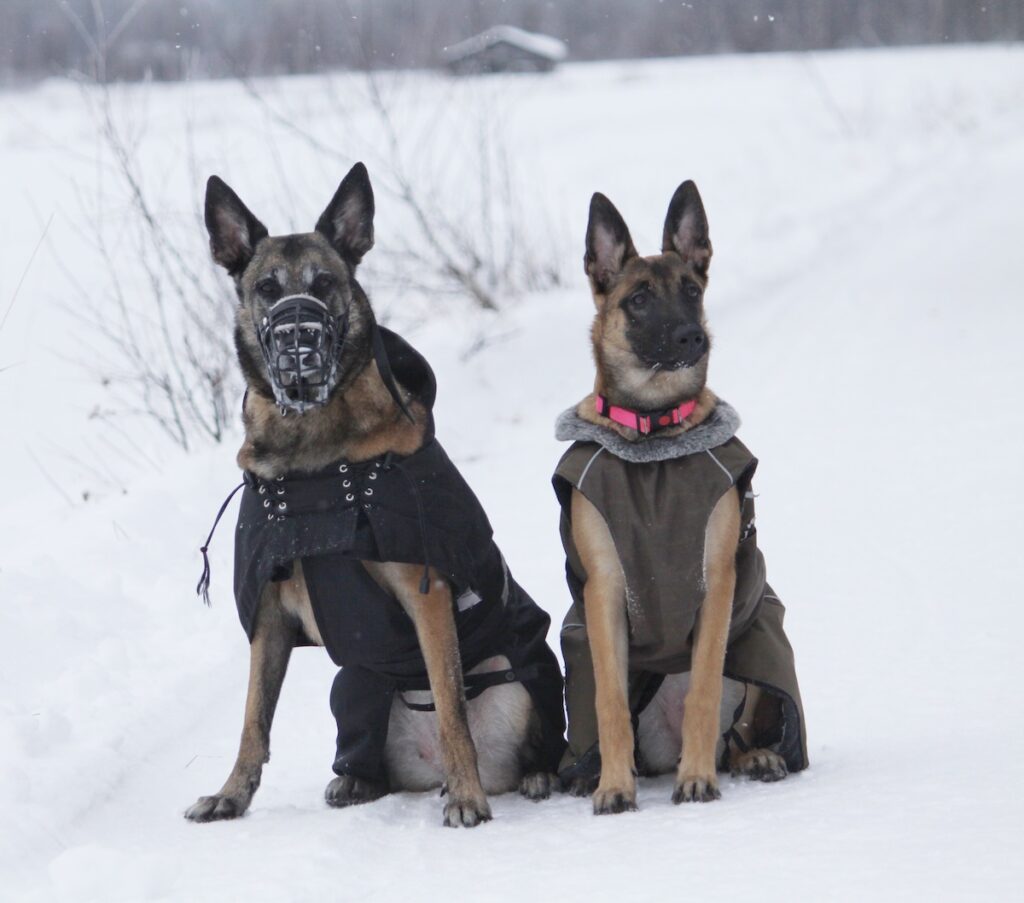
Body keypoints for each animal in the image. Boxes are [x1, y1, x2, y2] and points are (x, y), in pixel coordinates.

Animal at [187, 159, 565, 823]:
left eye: (324, 282)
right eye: (267, 288)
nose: (298, 338)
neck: (313, 465)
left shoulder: (426, 595)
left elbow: (450, 705)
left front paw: (467, 799)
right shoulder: (269, 617)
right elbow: (253, 721)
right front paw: (231, 795)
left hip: (516, 676)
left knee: (515, 734)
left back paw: (523, 777)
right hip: (353, 683)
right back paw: (357, 781)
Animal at [552, 179, 806, 814]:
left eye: (691, 291)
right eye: (639, 300)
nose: (693, 336)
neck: (655, 439)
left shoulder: (715, 583)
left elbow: (704, 691)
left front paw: (697, 780)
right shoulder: (605, 593)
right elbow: (610, 703)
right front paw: (613, 786)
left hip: (753, 650)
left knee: (734, 730)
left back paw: (751, 758)